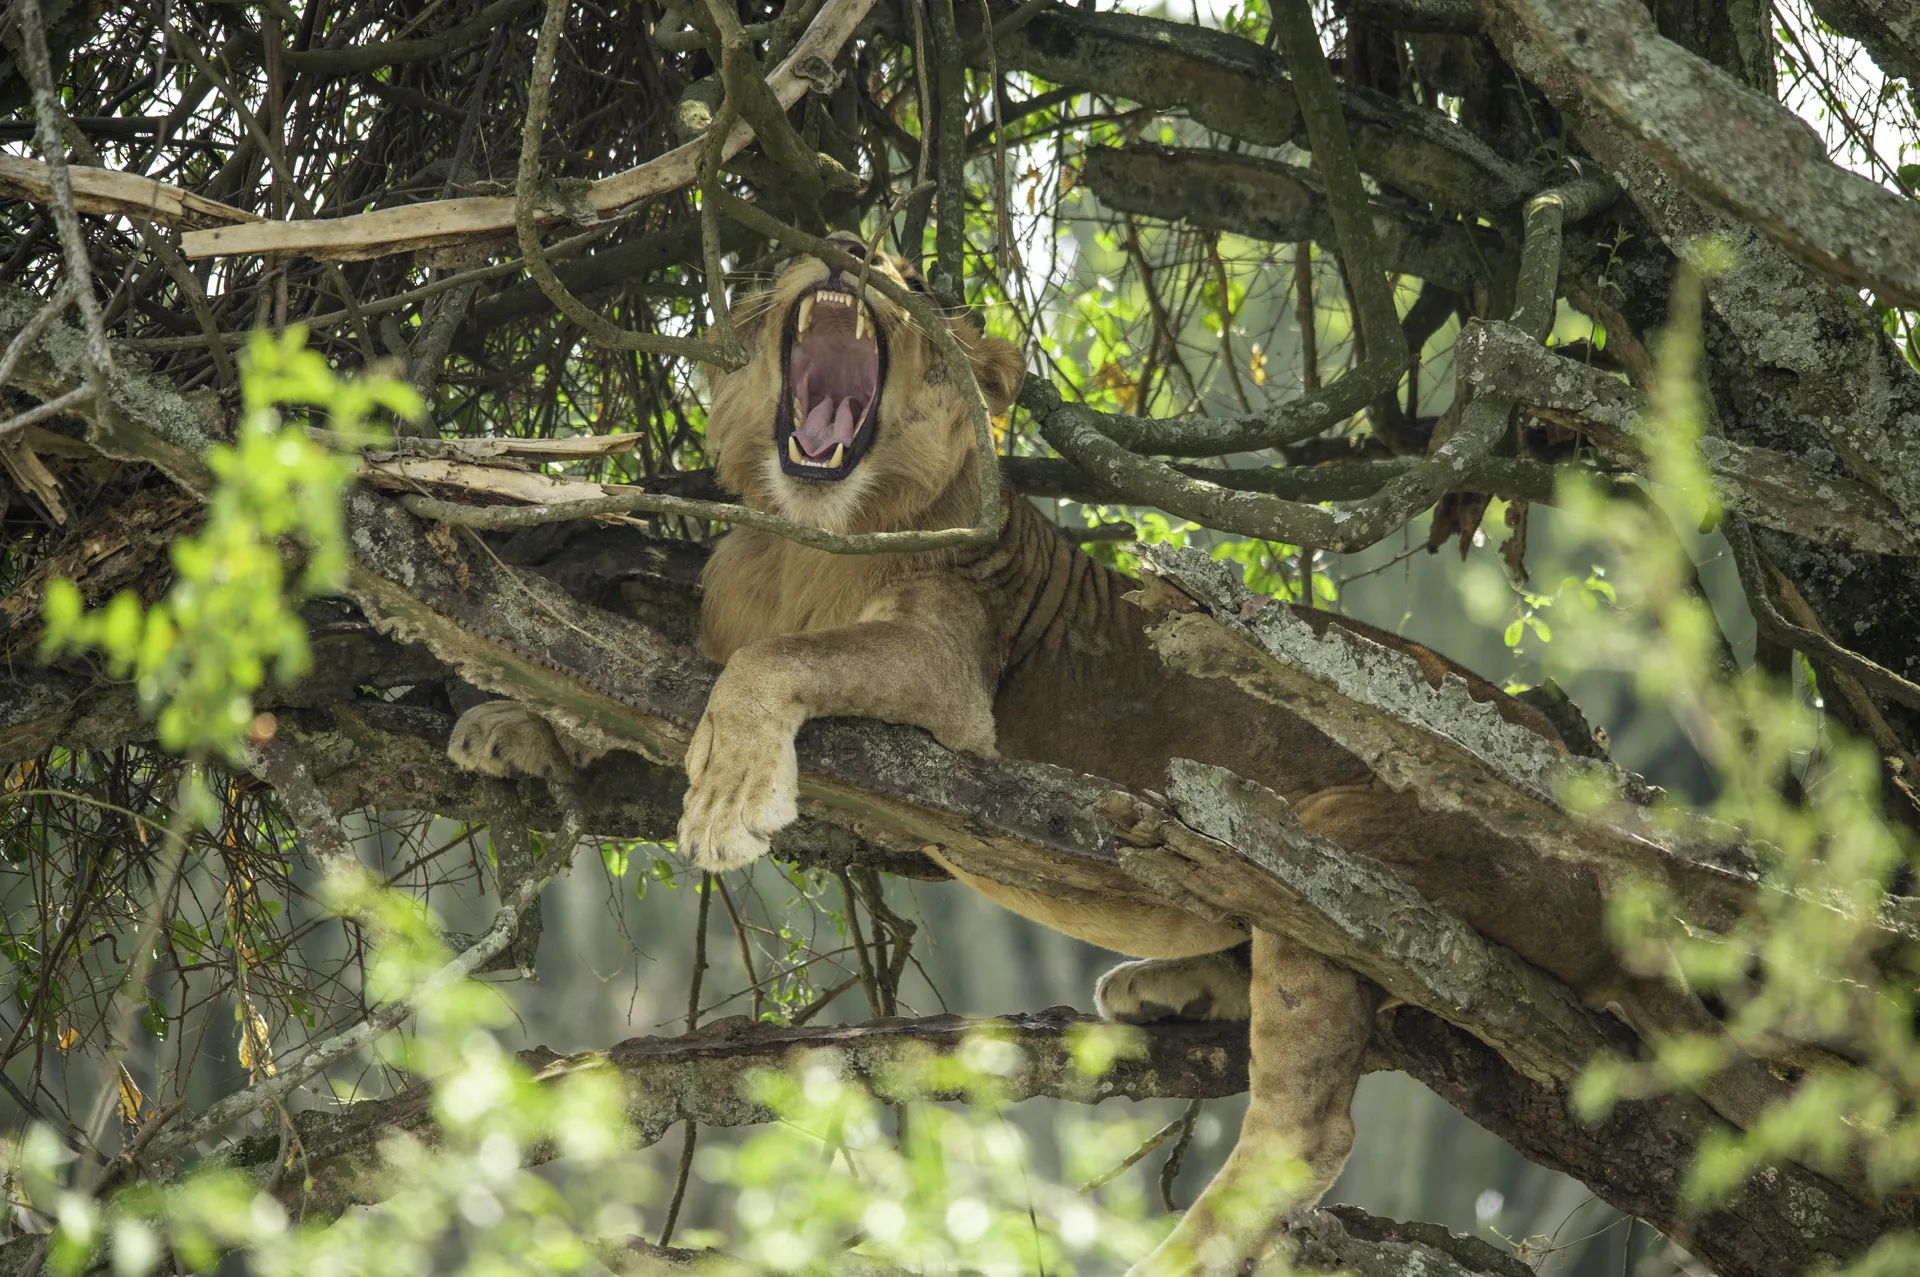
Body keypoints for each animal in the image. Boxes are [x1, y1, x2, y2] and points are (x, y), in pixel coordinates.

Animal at [446, 234, 1696, 1274]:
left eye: (910, 274)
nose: (843, 249)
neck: (804, 537)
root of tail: (1620, 861)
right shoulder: (710, 640)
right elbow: (652, 683)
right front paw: (513, 721)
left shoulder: (948, 675)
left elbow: (766, 666)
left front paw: (726, 801)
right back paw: (1167, 982)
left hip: (1338, 832)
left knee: (1308, 1122)